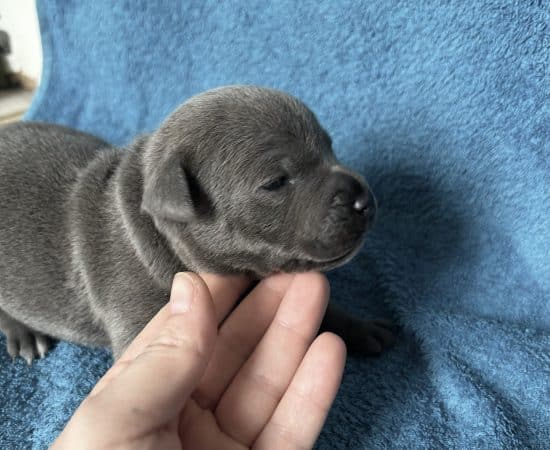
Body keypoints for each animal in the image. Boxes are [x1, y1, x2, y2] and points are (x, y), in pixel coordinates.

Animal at [0, 85, 394, 362]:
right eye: (276, 182)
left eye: (330, 147)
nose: (364, 200)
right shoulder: (139, 320)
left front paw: (361, 327)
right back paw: (24, 334)